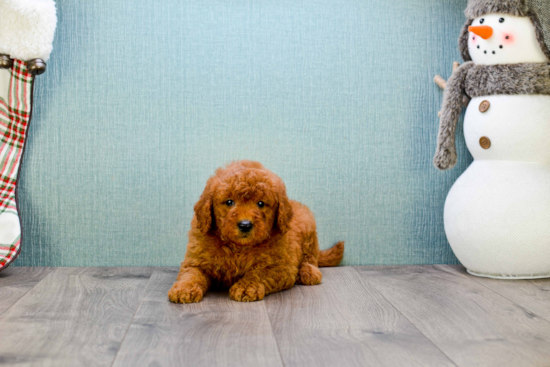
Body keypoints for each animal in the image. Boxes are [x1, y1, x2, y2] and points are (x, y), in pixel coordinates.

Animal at [168, 160, 344, 304]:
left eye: (260, 203)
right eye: (229, 202)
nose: (245, 225)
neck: (238, 247)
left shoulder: (282, 267)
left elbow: (259, 273)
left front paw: (246, 287)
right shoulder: (196, 259)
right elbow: (191, 273)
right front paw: (184, 289)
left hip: (308, 230)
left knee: (311, 257)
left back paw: (309, 272)